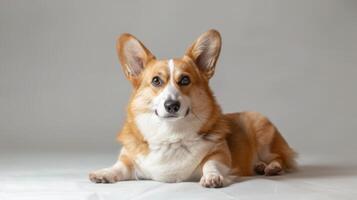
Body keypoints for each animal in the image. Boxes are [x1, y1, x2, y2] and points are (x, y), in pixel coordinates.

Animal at [89, 29, 294, 188]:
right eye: (156, 81)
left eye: (185, 80)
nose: (172, 105)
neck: (170, 135)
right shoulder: (129, 157)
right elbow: (120, 166)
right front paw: (104, 173)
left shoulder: (220, 154)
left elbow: (210, 164)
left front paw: (212, 177)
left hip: (264, 135)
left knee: (281, 157)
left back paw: (271, 167)